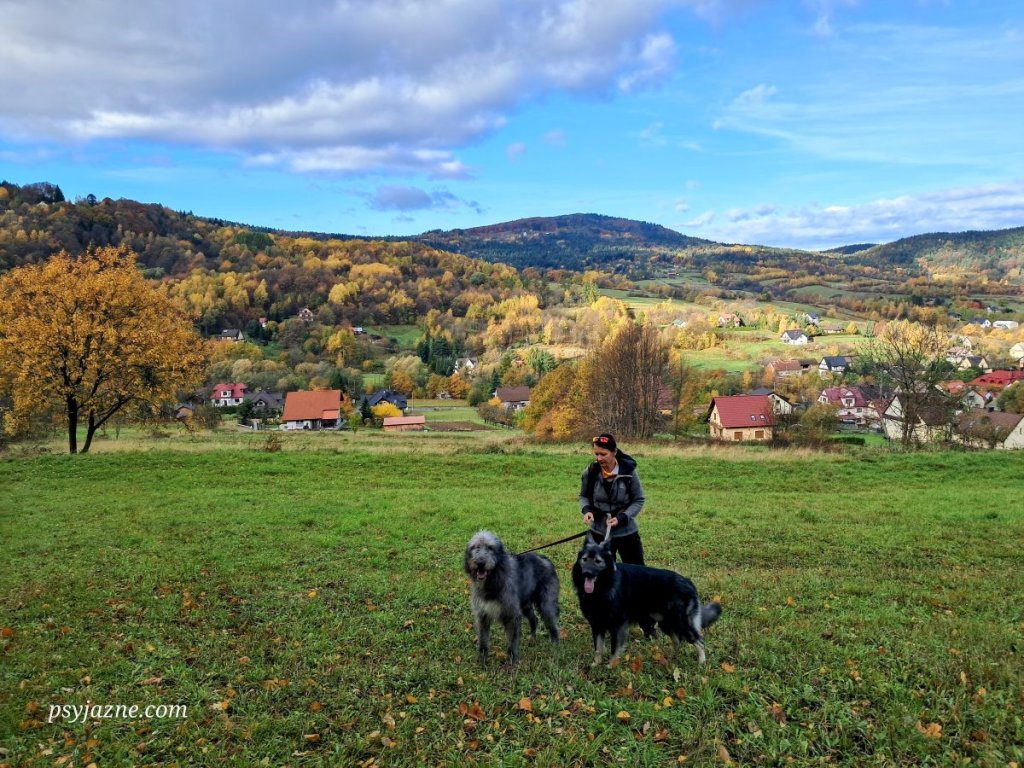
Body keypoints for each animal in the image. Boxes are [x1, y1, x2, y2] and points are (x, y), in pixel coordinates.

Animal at [463, 530, 560, 664]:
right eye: (475, 547)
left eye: (490, 548)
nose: (480, 563)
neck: (493, 580)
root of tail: (545, 559)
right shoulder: (482, 615)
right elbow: (483, 638)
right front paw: (482, 658)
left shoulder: (512, 614)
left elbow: (512, 640)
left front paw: (512, 658)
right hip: (525, 605)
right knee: (534, 619)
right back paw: (532, 638)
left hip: (546, 604)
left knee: (552, 623)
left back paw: (555, 643)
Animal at [572, 532, 720, 667]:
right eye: (584, 559)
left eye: (598, 561)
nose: (586, 573)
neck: (605, 586)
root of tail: (688, 582)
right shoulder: (597, 625)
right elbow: (598, 649)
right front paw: (595, 665)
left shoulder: (617, 626)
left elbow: (614, 649)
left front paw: (610, 666)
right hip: (666, 623)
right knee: (677, 640)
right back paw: (672, 659)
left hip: (680, 623)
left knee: (699, 641)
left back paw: (701, 663)